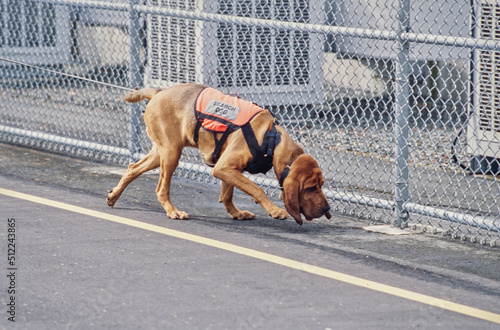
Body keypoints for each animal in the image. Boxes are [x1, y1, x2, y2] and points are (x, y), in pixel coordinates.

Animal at [107, 84, 330, 226]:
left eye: (321, 185)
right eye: (311, 187)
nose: (327, 209)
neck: (271, 140)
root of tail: (158, 92)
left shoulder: (227, 168)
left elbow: (227, 194)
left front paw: (236, 213)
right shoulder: (225, 167)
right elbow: (256, 189)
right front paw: (274, 211)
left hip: (160, 152)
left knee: (132, 168)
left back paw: (113, 196)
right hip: (171, 153)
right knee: (161, 188)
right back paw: (173, 211)